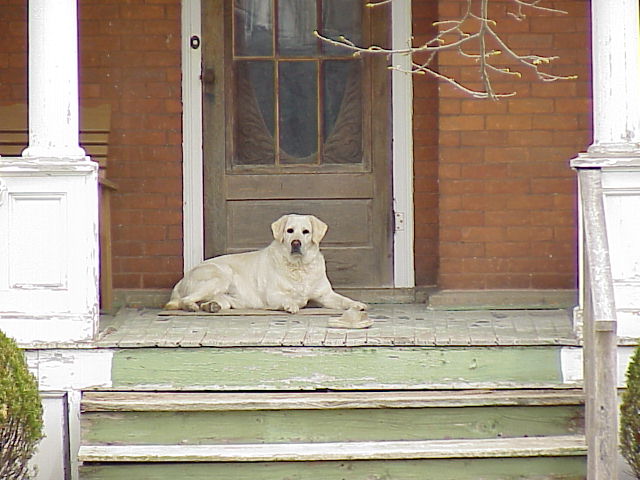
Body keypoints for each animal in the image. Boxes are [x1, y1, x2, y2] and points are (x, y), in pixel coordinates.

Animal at [162, 215, 368, 316]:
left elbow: (344, 300)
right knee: (184, 300)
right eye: (290, 231)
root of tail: (181, 281)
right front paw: (290, 305)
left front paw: (357, 304)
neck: (299, 267)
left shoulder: (325, 295)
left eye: (306, 232)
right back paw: (192, 306)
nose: (295, 243)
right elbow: (289, 299)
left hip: (227, 297)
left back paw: (210, 306)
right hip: (221, 275)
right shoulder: (273, 294)